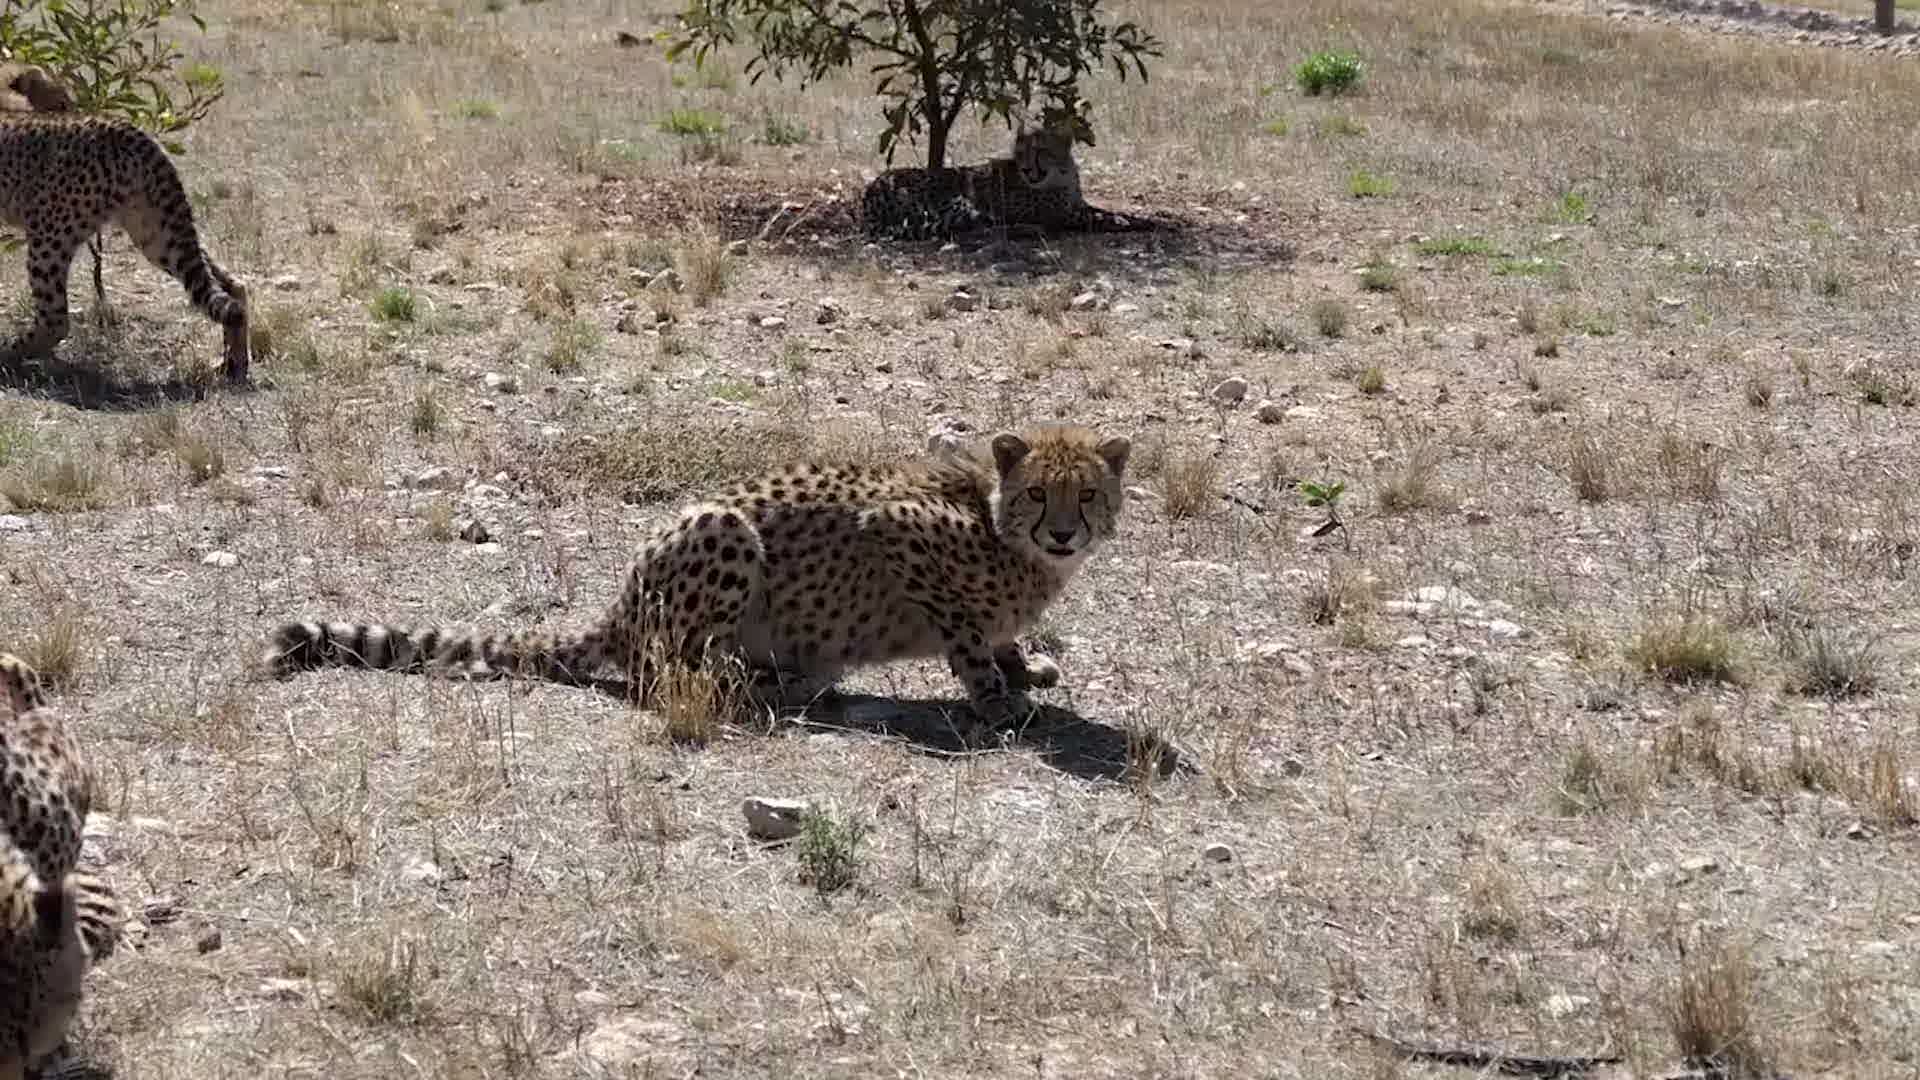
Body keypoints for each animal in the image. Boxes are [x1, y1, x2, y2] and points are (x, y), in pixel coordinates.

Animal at [0, 110, 251, 383]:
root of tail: (123, 127)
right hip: (157, 233)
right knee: (230, 287)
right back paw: (235, 364)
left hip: (50, 233)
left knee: (55, 320)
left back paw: (7, 355)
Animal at [264, 424, 1133, 732]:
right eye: (1037, 494)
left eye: (1086, 494)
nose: (1063, 532)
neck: (1007, 537)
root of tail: (618, 602)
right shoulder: (895, 530)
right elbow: (967, 636)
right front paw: (998, 698)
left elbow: (1002, 638)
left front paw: (1025, 666)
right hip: (726, 532)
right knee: (669, 672)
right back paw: (775, 685)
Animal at [861, 118, 1151, 241]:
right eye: (1021, 152)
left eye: (1041, 151)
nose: (1026, 169)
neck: (1061, 175)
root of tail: (871, 190)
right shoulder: (1062, 213)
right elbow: (1105, 217)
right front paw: (1140, 222)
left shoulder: (1076, 206)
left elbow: (1108, 212)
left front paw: (1142, 219)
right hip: (961, 198)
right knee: (980, 228)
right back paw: (1031, 230)